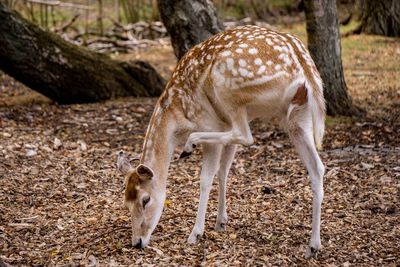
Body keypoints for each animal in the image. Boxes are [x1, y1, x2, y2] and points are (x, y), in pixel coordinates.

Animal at [115, 25, 324, 260]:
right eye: (125, 202)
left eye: (145, 199)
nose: (137, 242)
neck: (176, 117)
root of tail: (304, 66)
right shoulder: (225, 126)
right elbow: (224, 170)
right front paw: (220, 222)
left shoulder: (210, 124)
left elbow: (206, 178)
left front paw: (196, 233)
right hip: (298, 116)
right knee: (317, 168)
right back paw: (313, 246)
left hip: (228, 88)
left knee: (246, 136)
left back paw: (189, 145)